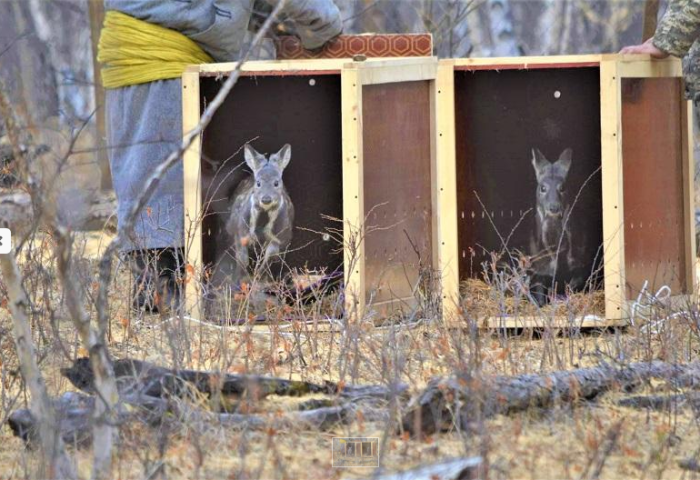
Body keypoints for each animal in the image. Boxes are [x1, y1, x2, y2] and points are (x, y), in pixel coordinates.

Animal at [528, 146, 584, 304]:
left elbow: (570, 288)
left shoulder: (581, 264)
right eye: (542, 187)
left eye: (563, 187)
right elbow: (540, 300)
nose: (554, 207)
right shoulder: (538, 270)